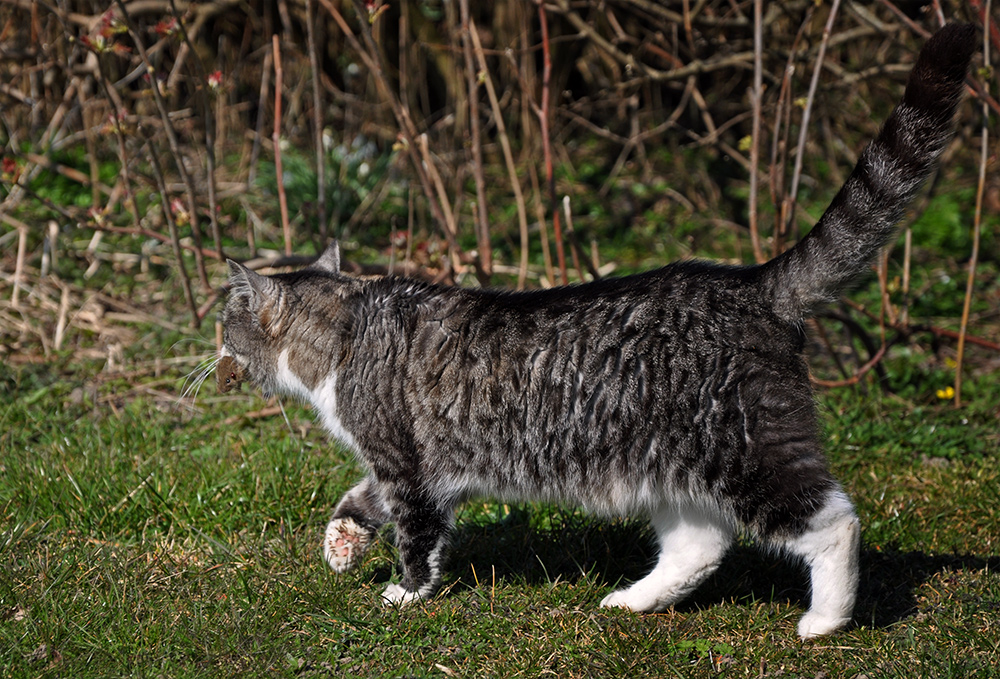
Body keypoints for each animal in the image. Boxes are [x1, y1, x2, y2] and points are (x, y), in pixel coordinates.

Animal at [219, 25, 976, 644]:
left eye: (226, 323)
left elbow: (417, 535)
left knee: (833, 520)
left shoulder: (406, 462)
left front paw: (405, 592)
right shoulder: (414, 466)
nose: (214, 350)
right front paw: (341, 542)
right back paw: (634, 601)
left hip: (748, 449)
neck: (349, 330)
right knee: (700, 545)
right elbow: (359, 499)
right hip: (675, 465)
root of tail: (751, 282)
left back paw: (825, 619)